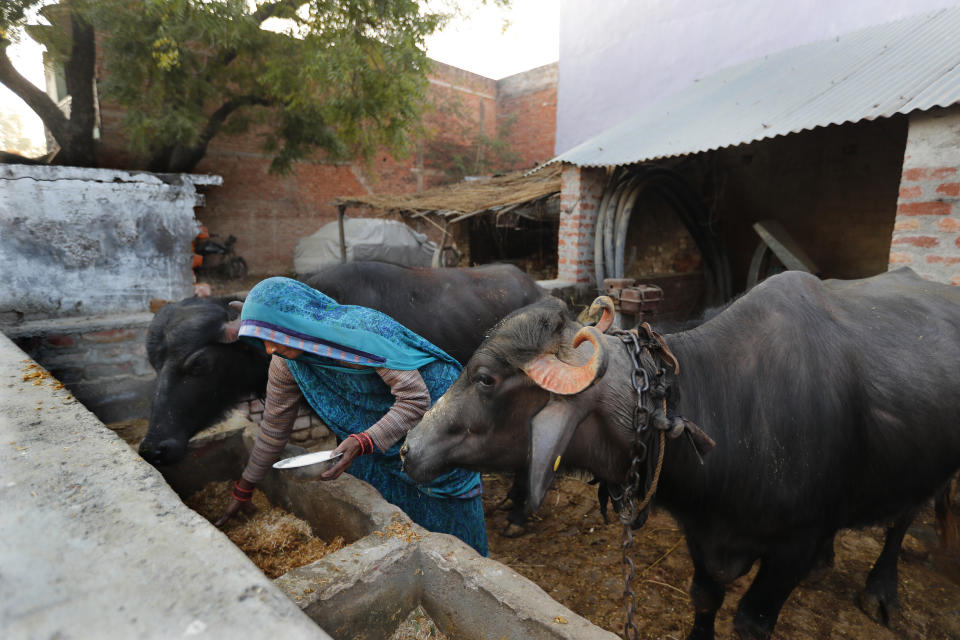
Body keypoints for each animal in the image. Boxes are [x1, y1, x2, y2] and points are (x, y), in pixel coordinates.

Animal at [404, 270, 960, 640]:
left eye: (485, 379)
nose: (409, 449)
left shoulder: (790, 548)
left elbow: (751, 621)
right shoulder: (700, 532)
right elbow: (705, 597)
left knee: (902, 520)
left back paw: (881, 590)